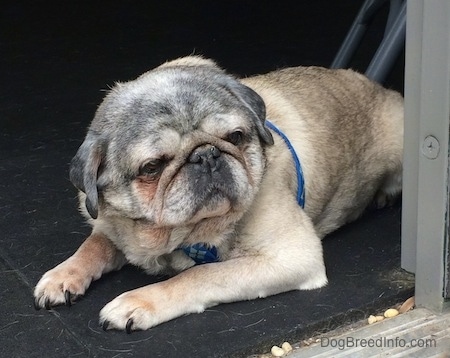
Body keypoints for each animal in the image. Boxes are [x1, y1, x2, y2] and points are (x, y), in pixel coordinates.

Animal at [33, 56, 402, 332]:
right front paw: (63, 275)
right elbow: (94, 245)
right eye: (153, 167)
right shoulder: (112, 225)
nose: (207, 155)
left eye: (235, 137)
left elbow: (199, 274)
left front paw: (139, 300)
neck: (175, 236)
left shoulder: (293, 256)